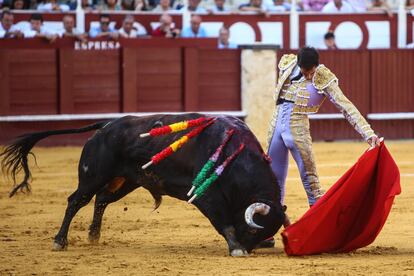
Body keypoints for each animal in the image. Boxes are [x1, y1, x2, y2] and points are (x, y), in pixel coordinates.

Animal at [0, 113, 284, 256]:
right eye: (254, 232)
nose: (250, 248)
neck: (235, 154)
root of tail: (106, 125)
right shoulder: (207, 197)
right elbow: (224, 222)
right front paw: (236, 248)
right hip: (94, 176)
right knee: (76, 201)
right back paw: (60, 241)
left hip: (126, 180)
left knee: (101, 200)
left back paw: (94, 236)